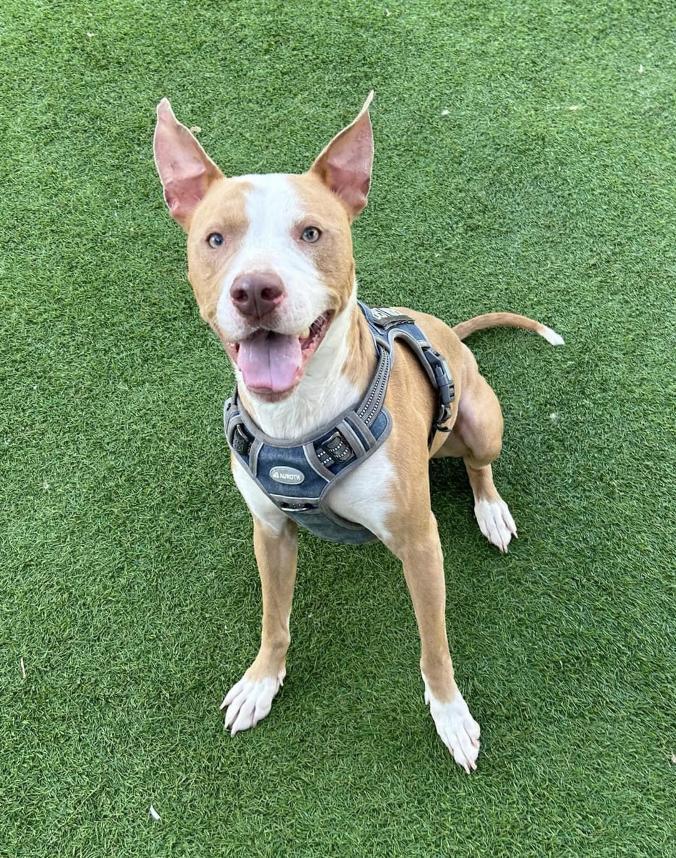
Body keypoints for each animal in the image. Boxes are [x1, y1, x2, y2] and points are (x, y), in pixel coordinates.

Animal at [154, 92, 564, 768]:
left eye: (311, 232)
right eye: (215, 238)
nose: (255, 290)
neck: (298, 417)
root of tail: (452, 332)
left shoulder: (420, 543)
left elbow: (434, 645)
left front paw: (451, 715)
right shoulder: (270, 531)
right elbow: (274, 620)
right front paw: (261, 682)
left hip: (481, 420)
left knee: (478, 464)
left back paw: (491, 511)